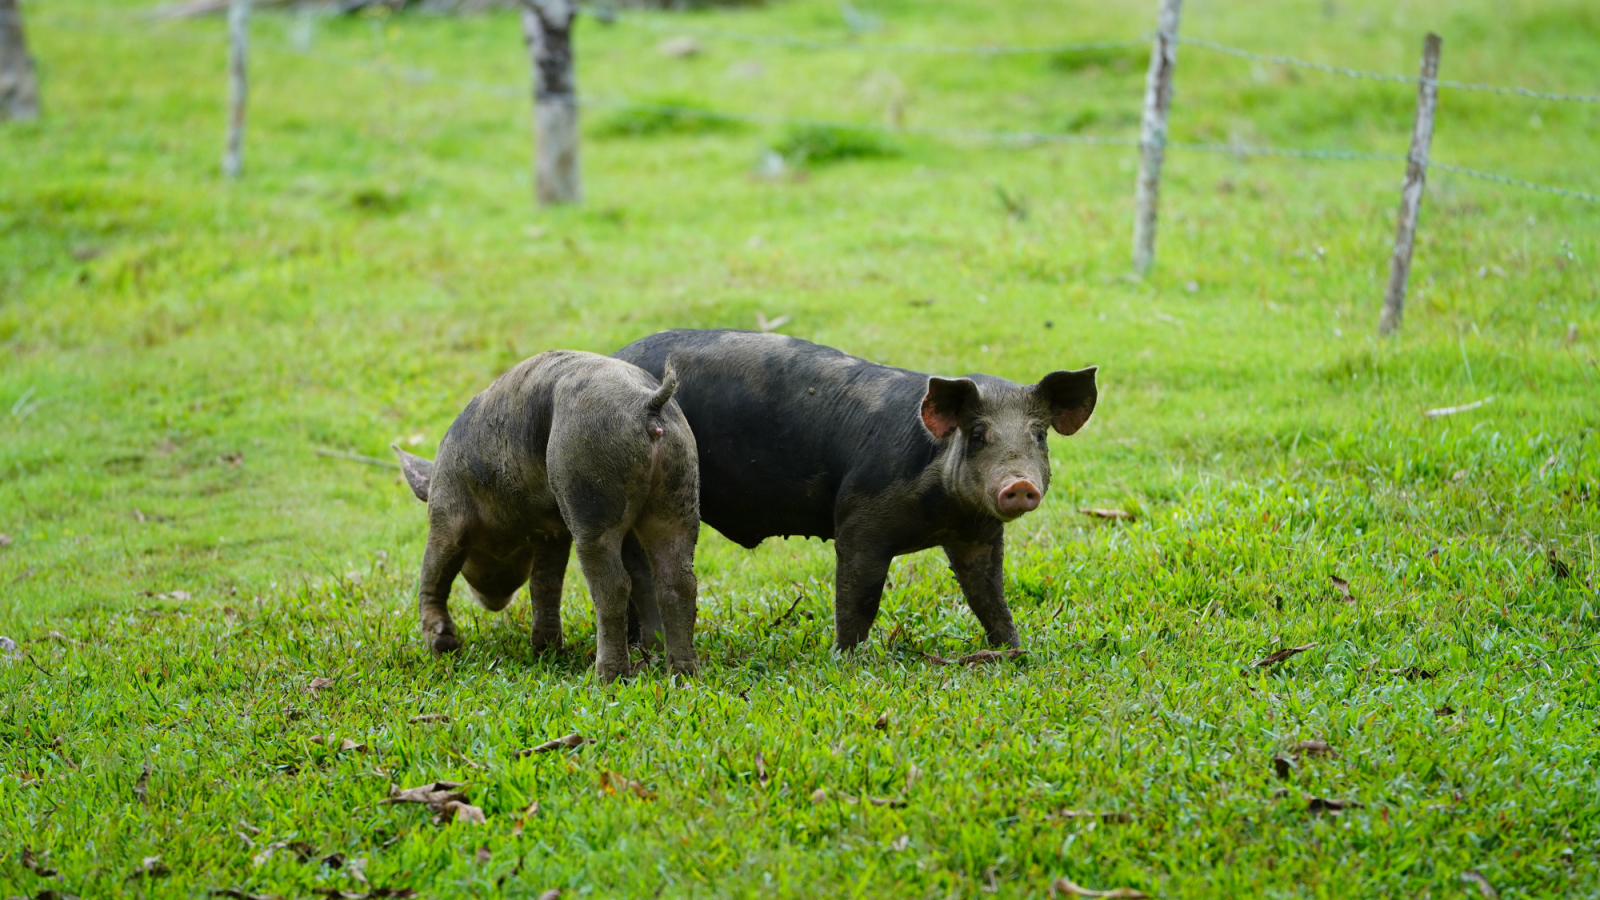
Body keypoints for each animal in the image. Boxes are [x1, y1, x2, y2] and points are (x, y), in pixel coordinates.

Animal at [390, 350, 697, 679]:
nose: (492, 603)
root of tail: (648, 403)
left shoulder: (447, 511)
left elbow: (434, 571)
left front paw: (442, 648)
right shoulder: (552, 531)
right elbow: (545, 583)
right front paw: (545, 651)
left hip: (588, 485)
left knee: (613, 585)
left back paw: (607, 677)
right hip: (679, 488)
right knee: (678, 580)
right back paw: (679, 673)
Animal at [614, 325, 1100, 646]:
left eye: (1039, 435)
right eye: (978, 434)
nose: (1019, 484)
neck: (943, 513)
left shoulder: (978, 534)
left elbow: (988, 592)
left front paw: (1013, 649)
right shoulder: (859, 519)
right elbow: (858, 593)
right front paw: (847, 657)